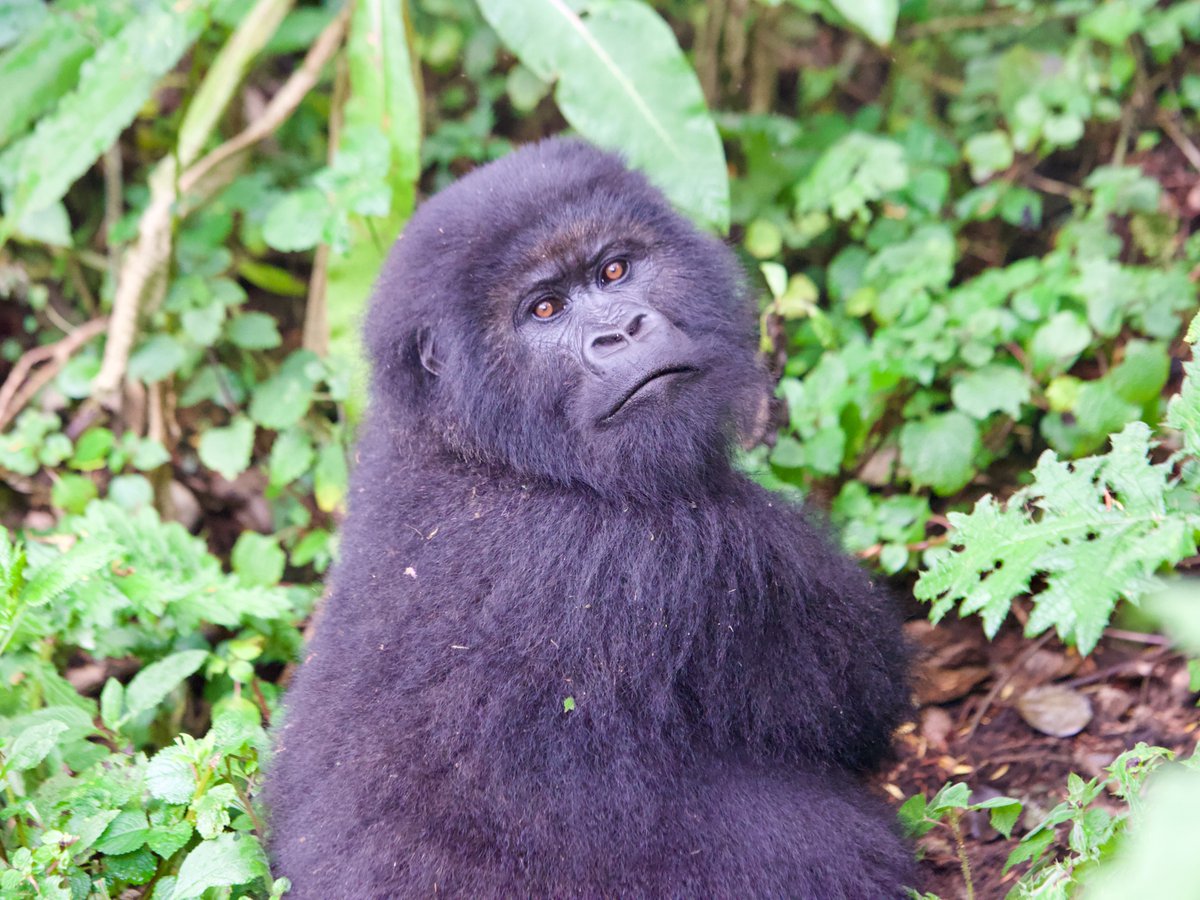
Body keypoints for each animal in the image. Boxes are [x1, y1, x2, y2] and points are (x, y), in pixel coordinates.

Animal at [266, 137, 913, 897]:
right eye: (544, 309)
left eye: (614, 270)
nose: (620, 332)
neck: (484, 453)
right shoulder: (700, 555)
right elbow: (864, 705)